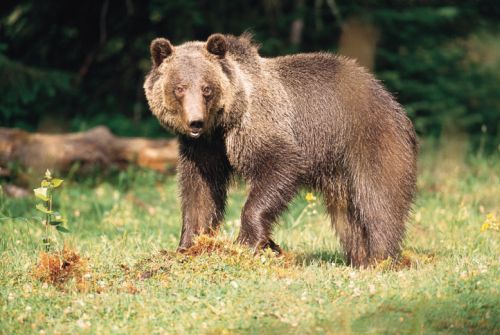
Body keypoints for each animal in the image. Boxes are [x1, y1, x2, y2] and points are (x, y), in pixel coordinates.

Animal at [144, 32, 418, 268]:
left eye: (206, 88)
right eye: (179, 88)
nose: (195, 122)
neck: (222, 124)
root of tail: (389, 97)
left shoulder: (257, 125)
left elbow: (279, 165)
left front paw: (247, 242)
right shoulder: (203, 149)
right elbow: (200, 193)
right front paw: (188, 245)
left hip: (369, 138)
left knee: (378, 199)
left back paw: (381, 258)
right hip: (338, 168)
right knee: (346, 217)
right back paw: (359, 258)